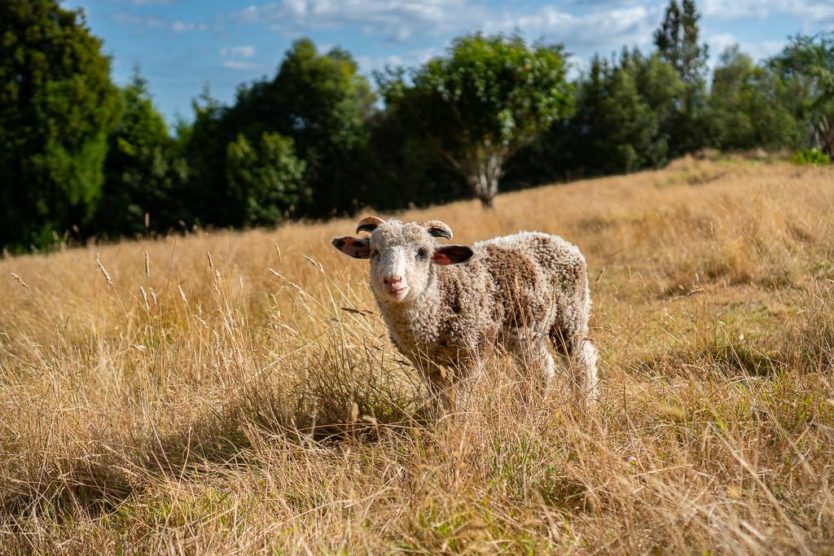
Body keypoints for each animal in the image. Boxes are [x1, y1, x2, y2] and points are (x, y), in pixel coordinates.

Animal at [328, 216, 596, 412]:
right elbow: (440, 397)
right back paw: (530, 407)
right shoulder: (425, 363)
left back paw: (584, 404)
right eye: (375, 252)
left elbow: (462, 396)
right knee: (540, 367)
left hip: (571, 315)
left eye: (422, 252)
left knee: (581, 361)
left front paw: (459, 423)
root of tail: (558, 240)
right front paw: (442, 423)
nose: (393, 281)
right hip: (528, 331)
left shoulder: (473, 350)